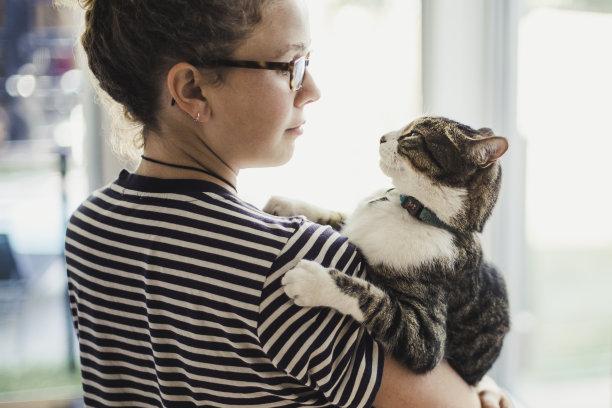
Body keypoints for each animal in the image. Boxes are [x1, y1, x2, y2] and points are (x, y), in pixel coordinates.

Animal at [263, 116, 511, 386]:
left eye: (412, 136)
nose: (381, 137)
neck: (412, 210)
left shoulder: (426, 339)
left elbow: (377, 303)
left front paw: (312, 282)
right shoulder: (352, 223)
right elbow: (335, 216)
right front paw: (286, 204)